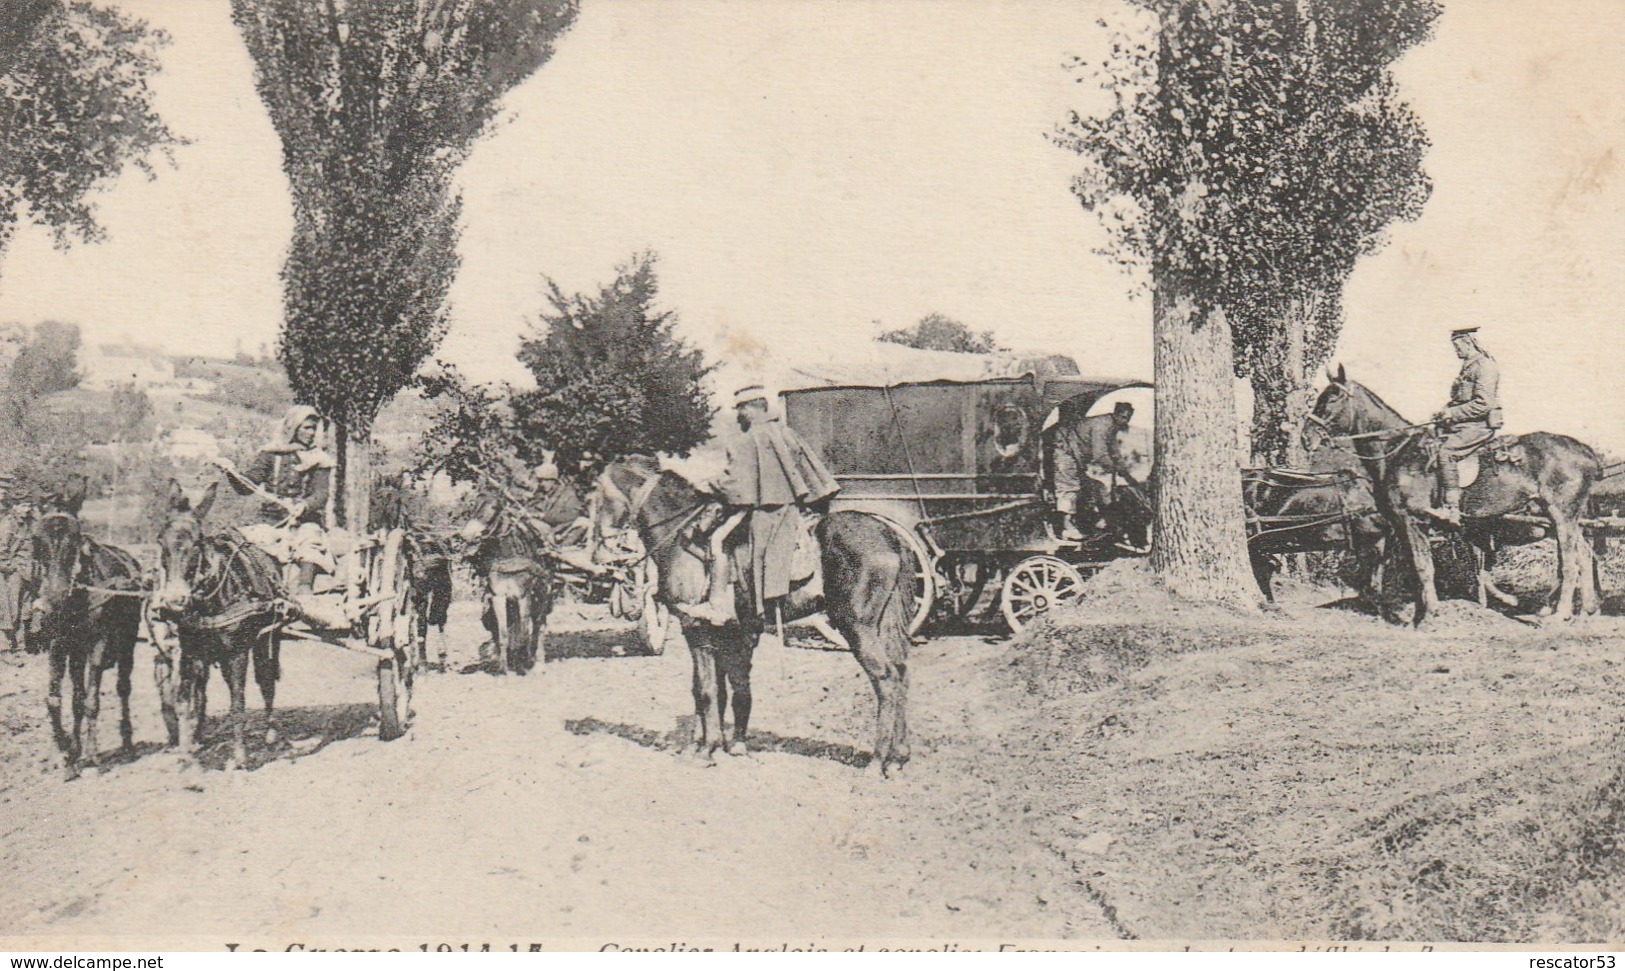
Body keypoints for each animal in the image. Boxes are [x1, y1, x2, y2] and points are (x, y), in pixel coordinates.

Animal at [27, 474, 144, 779]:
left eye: (75, 540)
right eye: (36, 541)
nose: (51, 603)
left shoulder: (98, 646)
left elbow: (92, 701)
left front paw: (92, 754)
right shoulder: (59, 646)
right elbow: (58, 700)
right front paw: (66, 751)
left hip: (126, 643)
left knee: (122, 688)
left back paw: (127, 741)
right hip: (77, 653)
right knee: (77, 697)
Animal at [151, 480, 284, 769]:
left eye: (197, 542)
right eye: (160, 541)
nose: (175, 600)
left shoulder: (237, 654)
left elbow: (237, 703)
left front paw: (240, 757)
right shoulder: (190, 652)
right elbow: (183, 702)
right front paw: (185, 755)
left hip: (266, 639)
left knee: (266, 679)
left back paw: (271, 732)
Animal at [461, 480, 555, 678]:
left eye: (495, 507)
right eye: (474, 505)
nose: (466, 535)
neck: (508, 555)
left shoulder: (523, 596)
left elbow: (525, 632)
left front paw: (523, 666)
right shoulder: (499, 597)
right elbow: (504, 633)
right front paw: (504, 670)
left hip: (543, 594)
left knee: (539, 625)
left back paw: (537, 662)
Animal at [588, 461, 916, 779]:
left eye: (595, 499)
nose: (598, 556)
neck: (681, 536)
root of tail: (890, 536)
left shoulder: (696, 630)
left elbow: (707, 690)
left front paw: (707, 750)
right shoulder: (723, 633)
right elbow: (720, 690)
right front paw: (714, 744)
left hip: (857, 627)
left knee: (886, 679)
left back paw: (876, 762)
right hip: (881, 626)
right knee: (901, 675)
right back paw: (898, 759)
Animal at [1306, 368, 1599, 626]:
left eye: (1333, 397)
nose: (1306, 437)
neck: (1399, 452)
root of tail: (1586, 451)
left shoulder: (1412, 521)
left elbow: (1423, 568)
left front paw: (1429, 617)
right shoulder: (1402, 525)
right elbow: (1415, 569)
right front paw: (1419, 615)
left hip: (1561, 515)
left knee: (1570, 562)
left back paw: (1558, 615)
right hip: (1565, 517)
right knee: (1584, 555)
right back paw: (1585, 610)